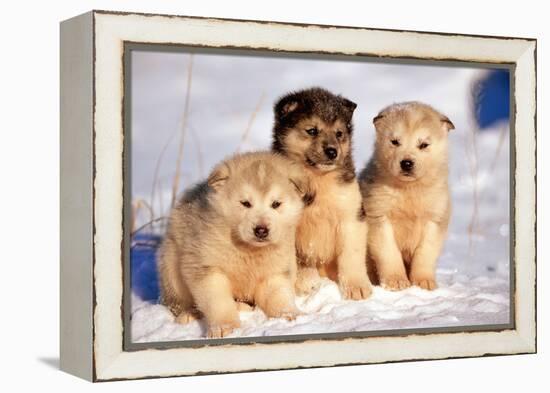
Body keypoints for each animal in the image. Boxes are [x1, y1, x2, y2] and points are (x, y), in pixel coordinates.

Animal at [158, 151, 310, 336]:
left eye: (276, 204)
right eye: (245, 203)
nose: (261, 230)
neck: (248, 250)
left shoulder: (275, 271)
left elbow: (280, 296)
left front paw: (290, 315)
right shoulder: (207, 267)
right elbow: (218, 302)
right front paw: (226, 327)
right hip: (171, 267)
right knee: (177, 303)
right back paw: (190, 314)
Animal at [272, 87, 374, 298]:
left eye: (339, 133)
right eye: (312, 131)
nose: (332, 152)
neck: (318, 180)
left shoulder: (351, 215)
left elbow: (351, 254)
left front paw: (357, 287)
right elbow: (298, 258)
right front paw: (306, 282)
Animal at [360, 102, 454, 290]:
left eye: (424, 144)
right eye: (395, 142)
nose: (407, 163)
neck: (409, 190)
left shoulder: (435, 218)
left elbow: (425, 252)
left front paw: (424, 282)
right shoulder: (379, 216)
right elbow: (389, 252)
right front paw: (396, 282)